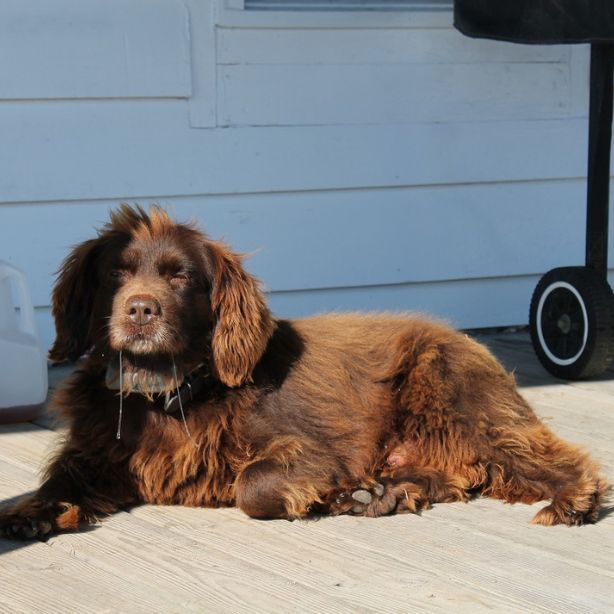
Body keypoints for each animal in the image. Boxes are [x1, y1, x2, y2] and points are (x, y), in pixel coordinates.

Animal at [0, 206, 608, 540]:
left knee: (545, 456)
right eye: (115, 274)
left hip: (454, 394)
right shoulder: (98, 450)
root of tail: (467, 340)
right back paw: (385, 494)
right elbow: (60, 478)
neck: (166, 393)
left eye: (180, 277)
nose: (140, 310)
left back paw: (574, 500)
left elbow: (251, 485)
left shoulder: (312, 449)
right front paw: (34, 512)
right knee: (454, 474)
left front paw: (321, 493)